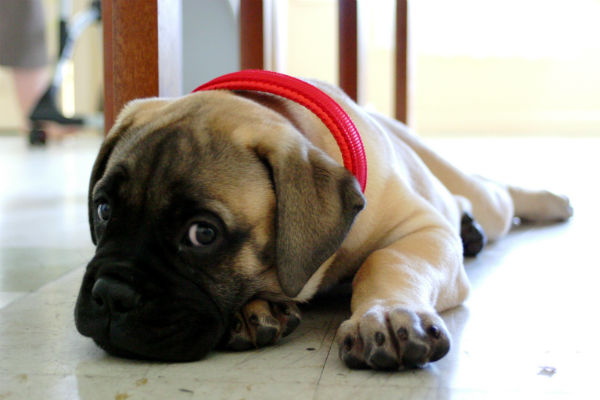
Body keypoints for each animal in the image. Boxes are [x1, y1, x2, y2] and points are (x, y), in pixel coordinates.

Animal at [75, 76, 572, 370]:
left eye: (203, 234)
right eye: (103, 210)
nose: (111, 295)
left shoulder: (423, 230)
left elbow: (387, 262)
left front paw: (386, 313)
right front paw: (256, 309)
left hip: (475, 196)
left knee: (491, 192)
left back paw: (546, 203)